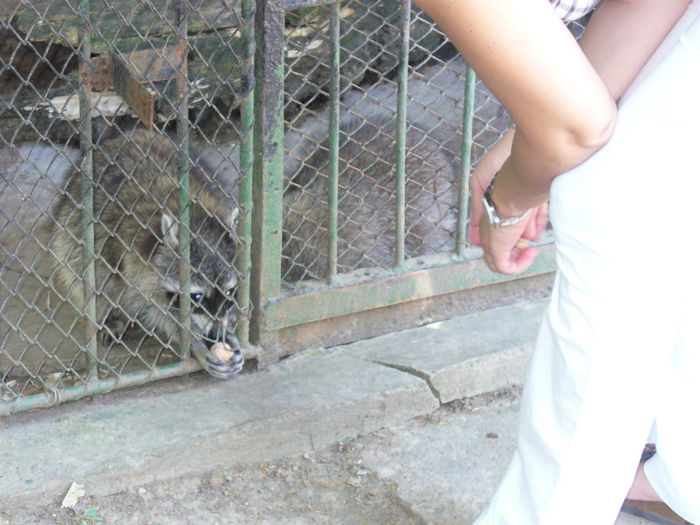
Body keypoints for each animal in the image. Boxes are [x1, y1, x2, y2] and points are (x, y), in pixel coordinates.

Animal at [50, 130, 245, 376]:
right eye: (197, 297)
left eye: (229, 292)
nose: (217, 334)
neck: (195, 216)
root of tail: (127, 135)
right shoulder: (134, 261)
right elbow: (152, 308)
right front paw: (193, 340)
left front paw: (228, 329)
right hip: (74, 225)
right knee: (85, 273)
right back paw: (108, 315)